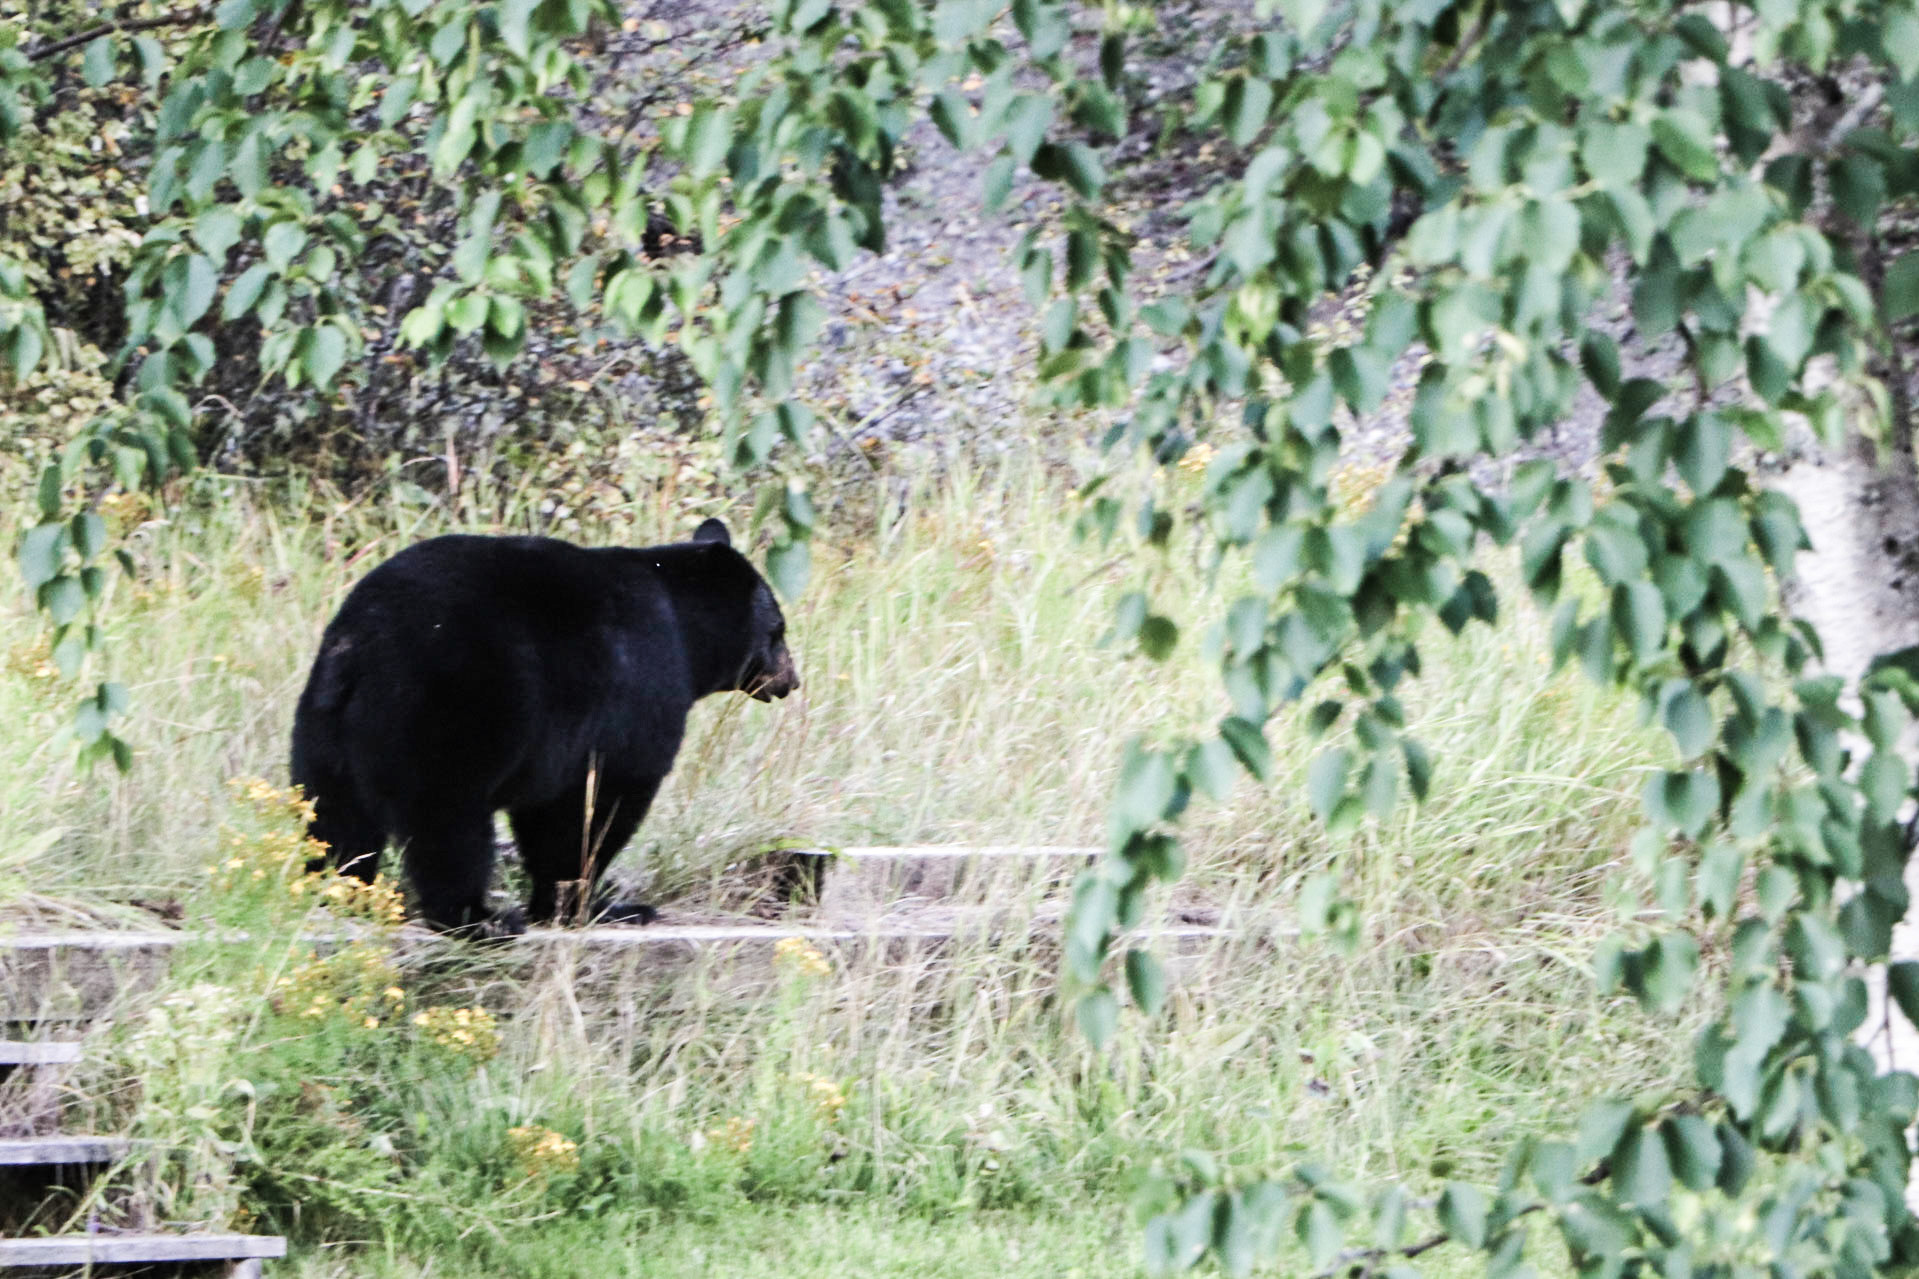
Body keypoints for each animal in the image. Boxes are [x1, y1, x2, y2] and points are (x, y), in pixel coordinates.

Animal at [289, 518, 798, 937]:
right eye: (779, 630)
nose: (792, 680)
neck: (682, 625)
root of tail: (365, 640)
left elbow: (545, 810)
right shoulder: (637, 688)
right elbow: (596, 804)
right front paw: (599, 906)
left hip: (327, 721)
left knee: (334, 811)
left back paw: (340, 889)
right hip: (450, 710)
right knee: (447, 818)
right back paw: (478, 919)